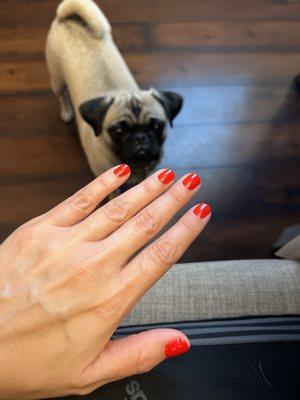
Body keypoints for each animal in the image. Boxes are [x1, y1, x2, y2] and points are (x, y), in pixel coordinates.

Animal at [46, 0, 183, 184]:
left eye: (156, 126)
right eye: (119, 131)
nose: (140, 137)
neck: (135, 166)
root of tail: (69, 19)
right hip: (57, 79)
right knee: (62, 95)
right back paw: (67, 111)